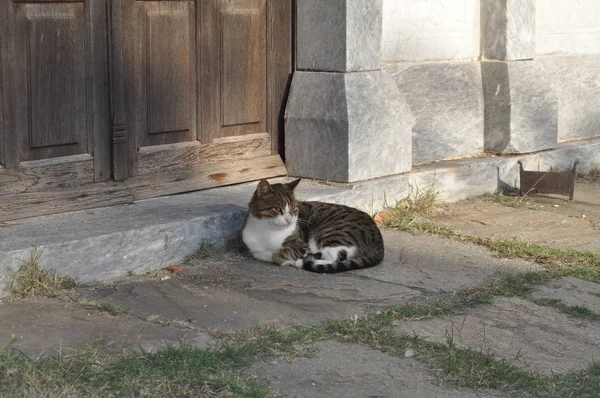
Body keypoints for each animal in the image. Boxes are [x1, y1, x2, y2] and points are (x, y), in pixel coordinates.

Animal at [240, 178, 384, 274]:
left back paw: (304, 261)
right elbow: (263, 254)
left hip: (330, 233)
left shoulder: (301, 245)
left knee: (335, 258)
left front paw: (293, 259)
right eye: (277, 209)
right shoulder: (254, 248)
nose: (289, 220)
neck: (267, 231)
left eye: (294, 209)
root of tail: (379, 245)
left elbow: (277, 254)